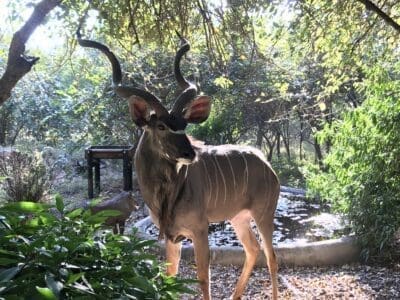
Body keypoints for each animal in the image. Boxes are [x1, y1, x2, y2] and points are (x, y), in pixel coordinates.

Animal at [76, 28, 280, 300]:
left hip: (263, 214)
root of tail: (267, 165)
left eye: (184, 125)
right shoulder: (172, 237)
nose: (189, 153)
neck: (165, 194)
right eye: (161, 126)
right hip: (239, 218)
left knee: (271, 257)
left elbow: (203, 278)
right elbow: (170, 275)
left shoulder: (199, 229)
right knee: (253, 249)